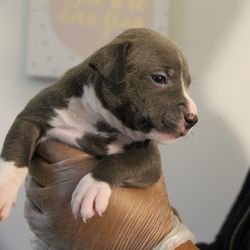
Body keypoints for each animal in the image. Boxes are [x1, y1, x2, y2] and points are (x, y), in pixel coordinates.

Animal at [0, 28, 197, 222]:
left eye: (187, 84)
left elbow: (119, 161)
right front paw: (4, 189)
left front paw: (93, 187)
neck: (99, 120)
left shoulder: (151, 158)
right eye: (159, 78)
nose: (193, 119)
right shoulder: (35, 116)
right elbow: (16, 151)